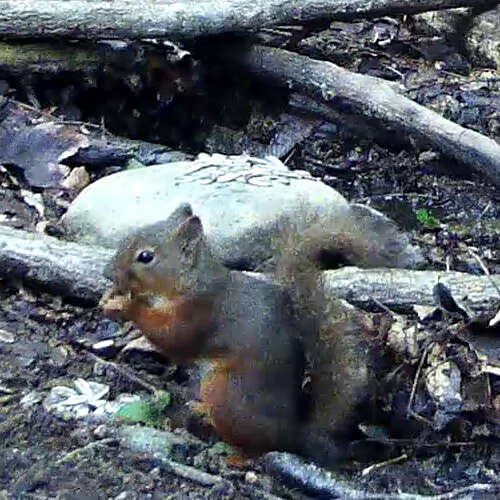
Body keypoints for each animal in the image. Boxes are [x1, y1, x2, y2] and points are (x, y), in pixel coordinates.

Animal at [102, 201, 422, 466]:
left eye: (146, 256)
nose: (107, 273)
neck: (188, 282)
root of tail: (295, 434)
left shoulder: (198, 313)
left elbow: (173, 338)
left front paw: (124, 306)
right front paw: (110, 298)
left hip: (225, 392)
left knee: (259, 449)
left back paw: (234, 457)